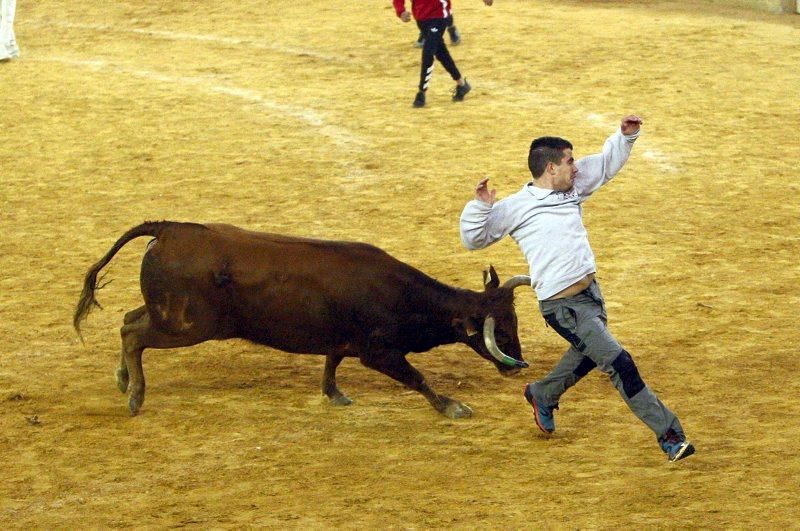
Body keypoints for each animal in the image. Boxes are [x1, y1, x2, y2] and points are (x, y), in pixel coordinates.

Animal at [72, 221, 528, 420]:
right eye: (501, 328)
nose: (518, 364)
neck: (402, 295)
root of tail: (169, 229)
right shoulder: (379, 353)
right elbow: (418, 379)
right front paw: (452, 406)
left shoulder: (342, 341)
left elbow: (331, 364)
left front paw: (335, 394)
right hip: (185, 325)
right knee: (133, 333)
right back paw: (135, 397)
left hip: (167, 314)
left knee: (129, 319)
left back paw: (123, 380)